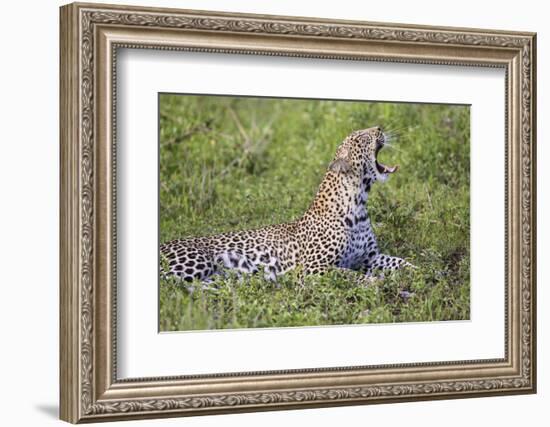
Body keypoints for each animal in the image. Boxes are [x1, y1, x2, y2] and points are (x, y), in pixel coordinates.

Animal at [160, 127, 414, 284]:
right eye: (362, 138)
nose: (379, 128)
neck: (359, 204)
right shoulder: (313, 269)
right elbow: (347, 273)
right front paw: (373, 281)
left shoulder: (370, 257)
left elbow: (398, 261)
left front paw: (417, 272)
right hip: (195, 262)